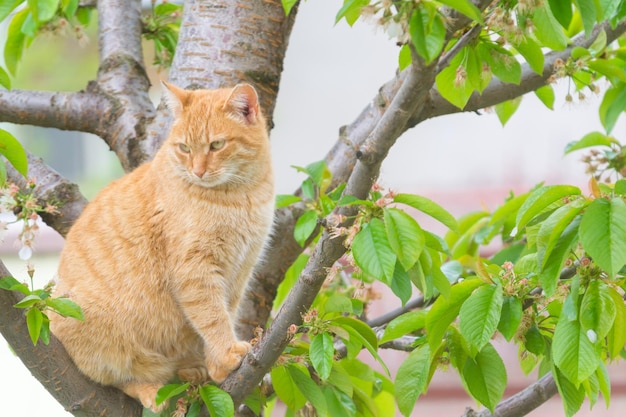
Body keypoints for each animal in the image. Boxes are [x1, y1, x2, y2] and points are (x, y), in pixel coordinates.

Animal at [48, 81, 272, 410]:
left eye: (216, 145)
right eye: (185, 148)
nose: (197, 171)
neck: (239, 197)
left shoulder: (240, 272)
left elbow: (224, 315)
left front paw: (215, 365)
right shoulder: (196, 269)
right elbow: (212, 317)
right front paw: (225, 355)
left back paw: (192, 370)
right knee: (120, 378)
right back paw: (151, 390)